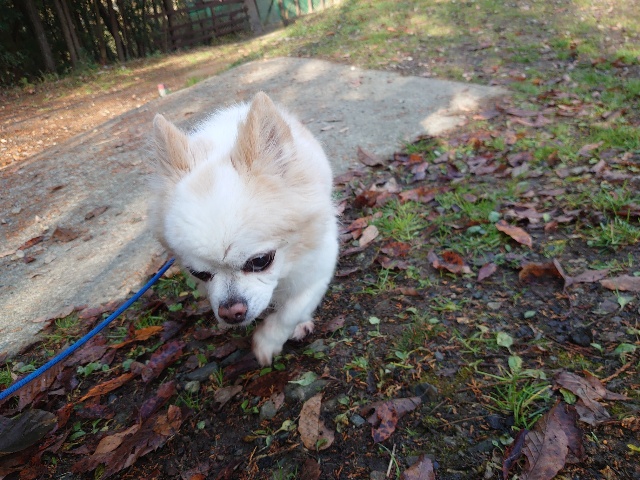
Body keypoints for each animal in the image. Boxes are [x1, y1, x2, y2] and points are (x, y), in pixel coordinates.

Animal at [149, 92, 338, 366]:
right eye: (199, 274)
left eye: (260, 261)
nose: (231, 311)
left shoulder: (319, 264)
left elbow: (292, 308)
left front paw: (269, 340)